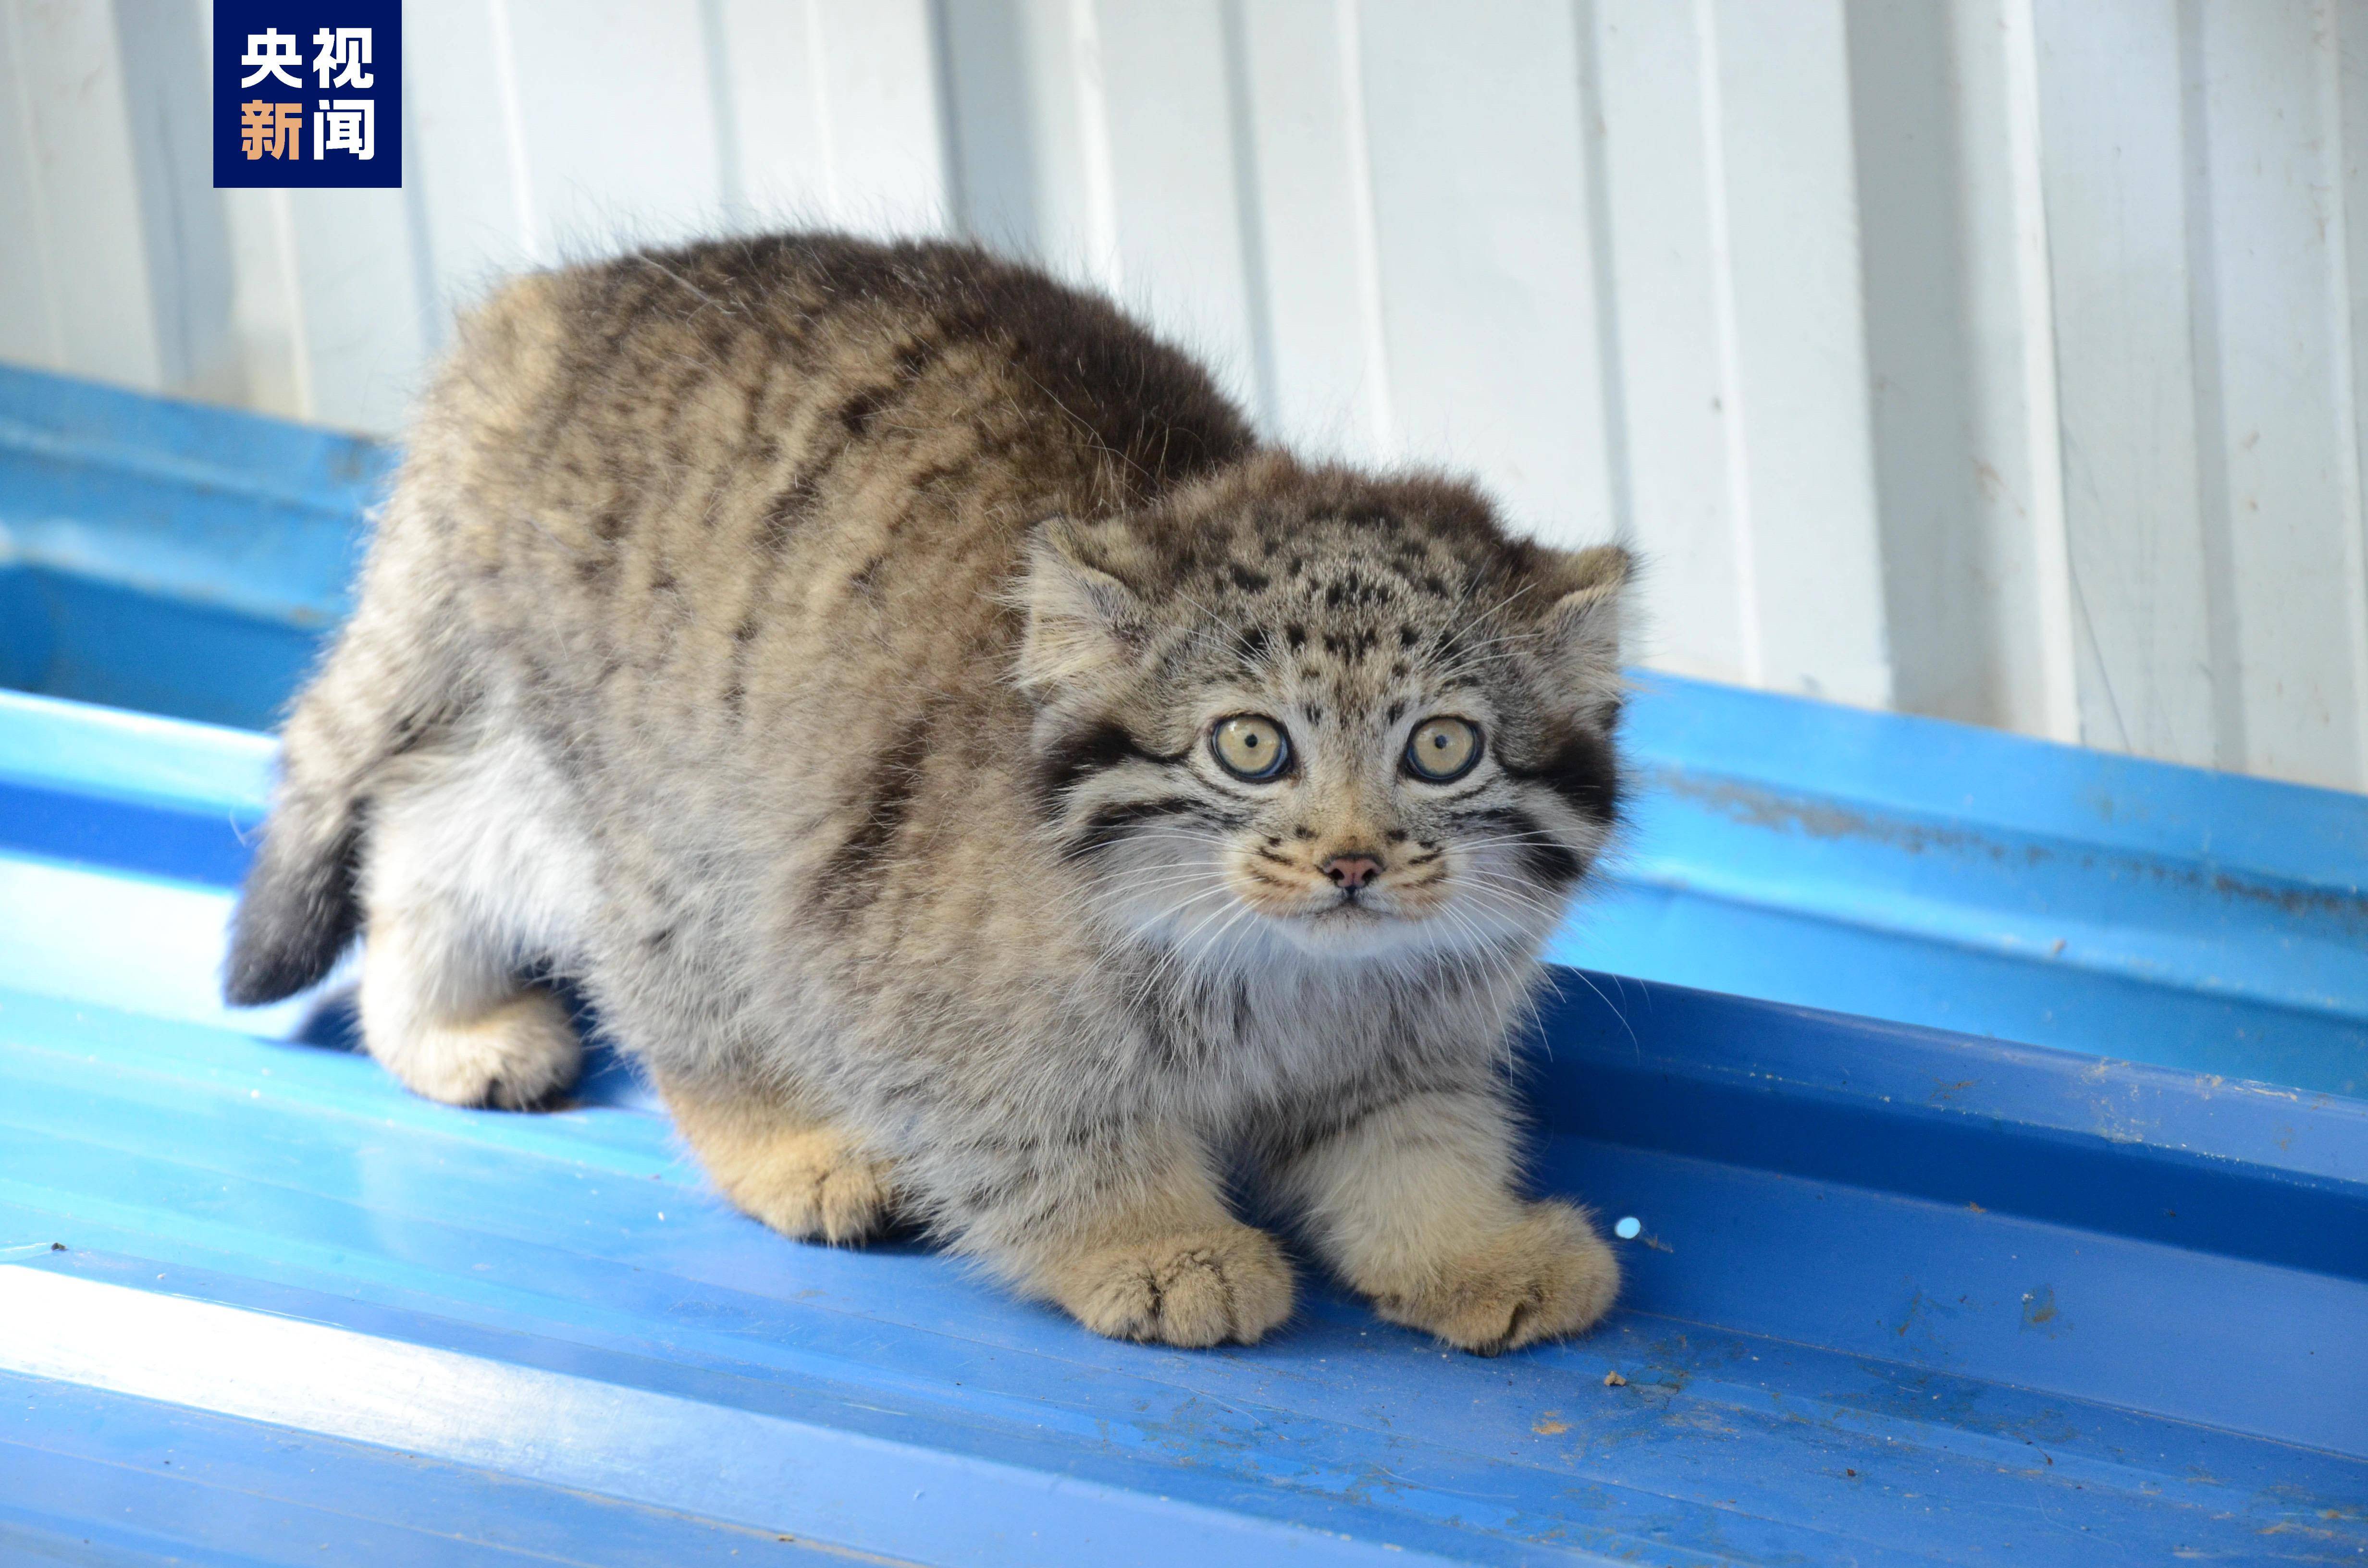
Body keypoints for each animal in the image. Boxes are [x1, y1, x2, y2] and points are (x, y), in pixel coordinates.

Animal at [222, 239, 1629, 1355]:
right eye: (1251, 747)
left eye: (1440, 751)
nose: (1351, 862)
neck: (1286, 976)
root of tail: (547, 311)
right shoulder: (892, 973)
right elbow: (1035, 1138)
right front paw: (1151, 1245)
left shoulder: (1404, 1048)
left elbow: (1413, 1151)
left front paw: (1470, 1250)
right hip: (686, 804)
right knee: (661, 969)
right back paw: (786, 1143)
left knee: (435, 819)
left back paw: (440, 1023)